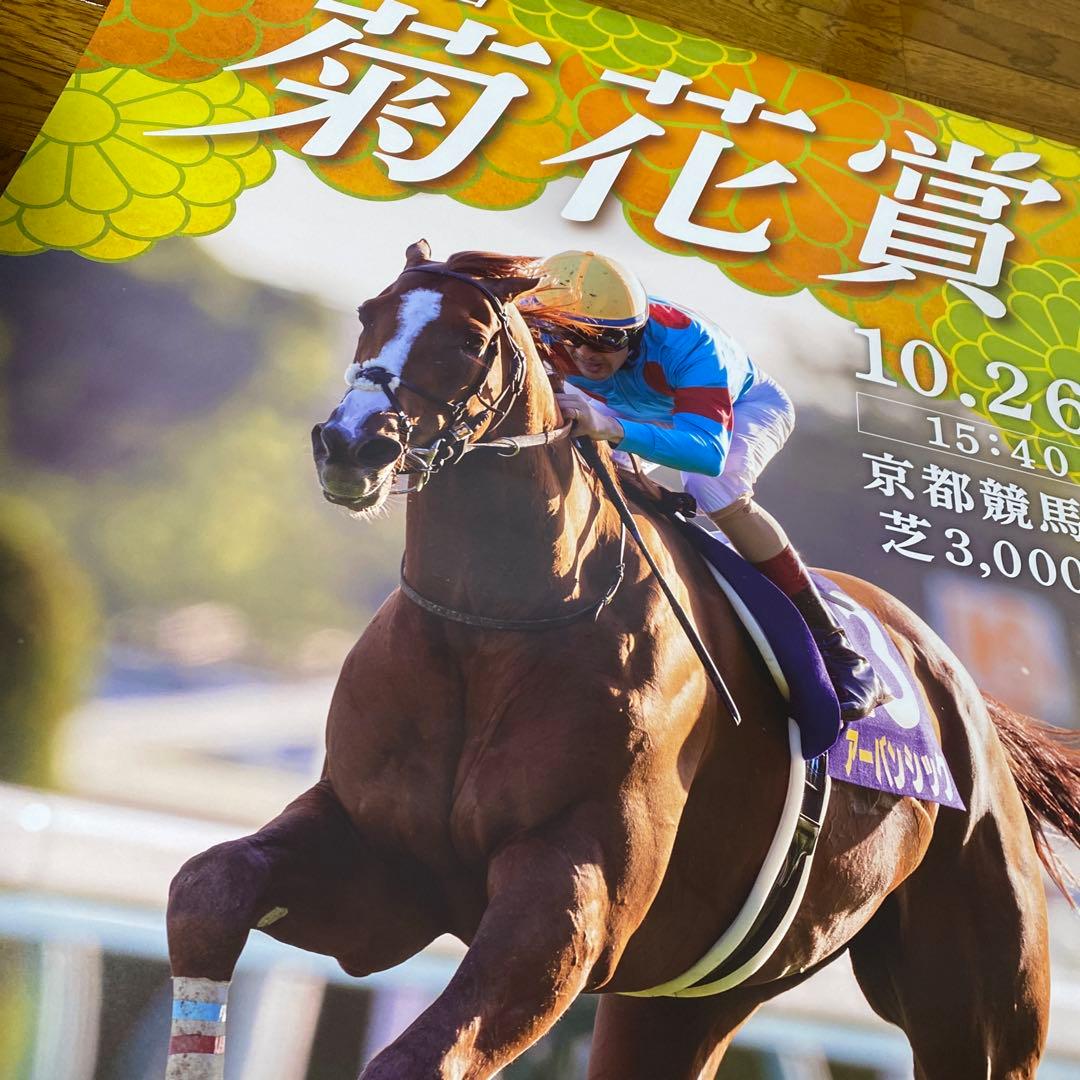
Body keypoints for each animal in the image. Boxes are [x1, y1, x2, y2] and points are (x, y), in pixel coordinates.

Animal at [165, 240, 1080, 1080]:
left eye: (468, 338)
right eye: (368, 314)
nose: (351, 445)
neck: (492, 630)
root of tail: (968, 699)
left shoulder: (573, 897)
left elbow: (419, 1059)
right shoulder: (382, 868)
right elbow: (206, 888)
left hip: (975, 1000)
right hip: (689, 996)